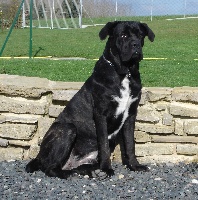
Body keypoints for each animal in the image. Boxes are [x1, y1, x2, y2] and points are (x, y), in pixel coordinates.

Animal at [25, 21, 155, 179]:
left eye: (140, 35)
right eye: (123, 35)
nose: (135, 44)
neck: (126, 73)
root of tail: (38, 155)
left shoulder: (130, 115)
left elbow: (130, 144)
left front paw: (135, 166)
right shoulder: (101, 114)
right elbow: (104, 145)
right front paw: (106, 169)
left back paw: (87, 171)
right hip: (67, 129)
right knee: (49, 168)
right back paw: (69, 174)